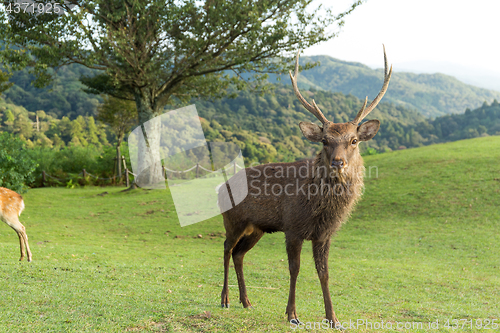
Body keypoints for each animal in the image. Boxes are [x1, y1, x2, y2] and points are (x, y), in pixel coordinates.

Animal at [218, 44, 390, 326]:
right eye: (324, 140)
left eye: (354, 140)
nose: (338, 162)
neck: (319, 209)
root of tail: (220, 188)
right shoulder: (292, 227)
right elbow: (294, 269)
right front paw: (292, 315)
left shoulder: (325, 234)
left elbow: (325, 273)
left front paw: (333, 318)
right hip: (233, 220)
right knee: (225, 248)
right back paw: (225, 299)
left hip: (257, 228)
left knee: (238, 254)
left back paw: (246, 301)